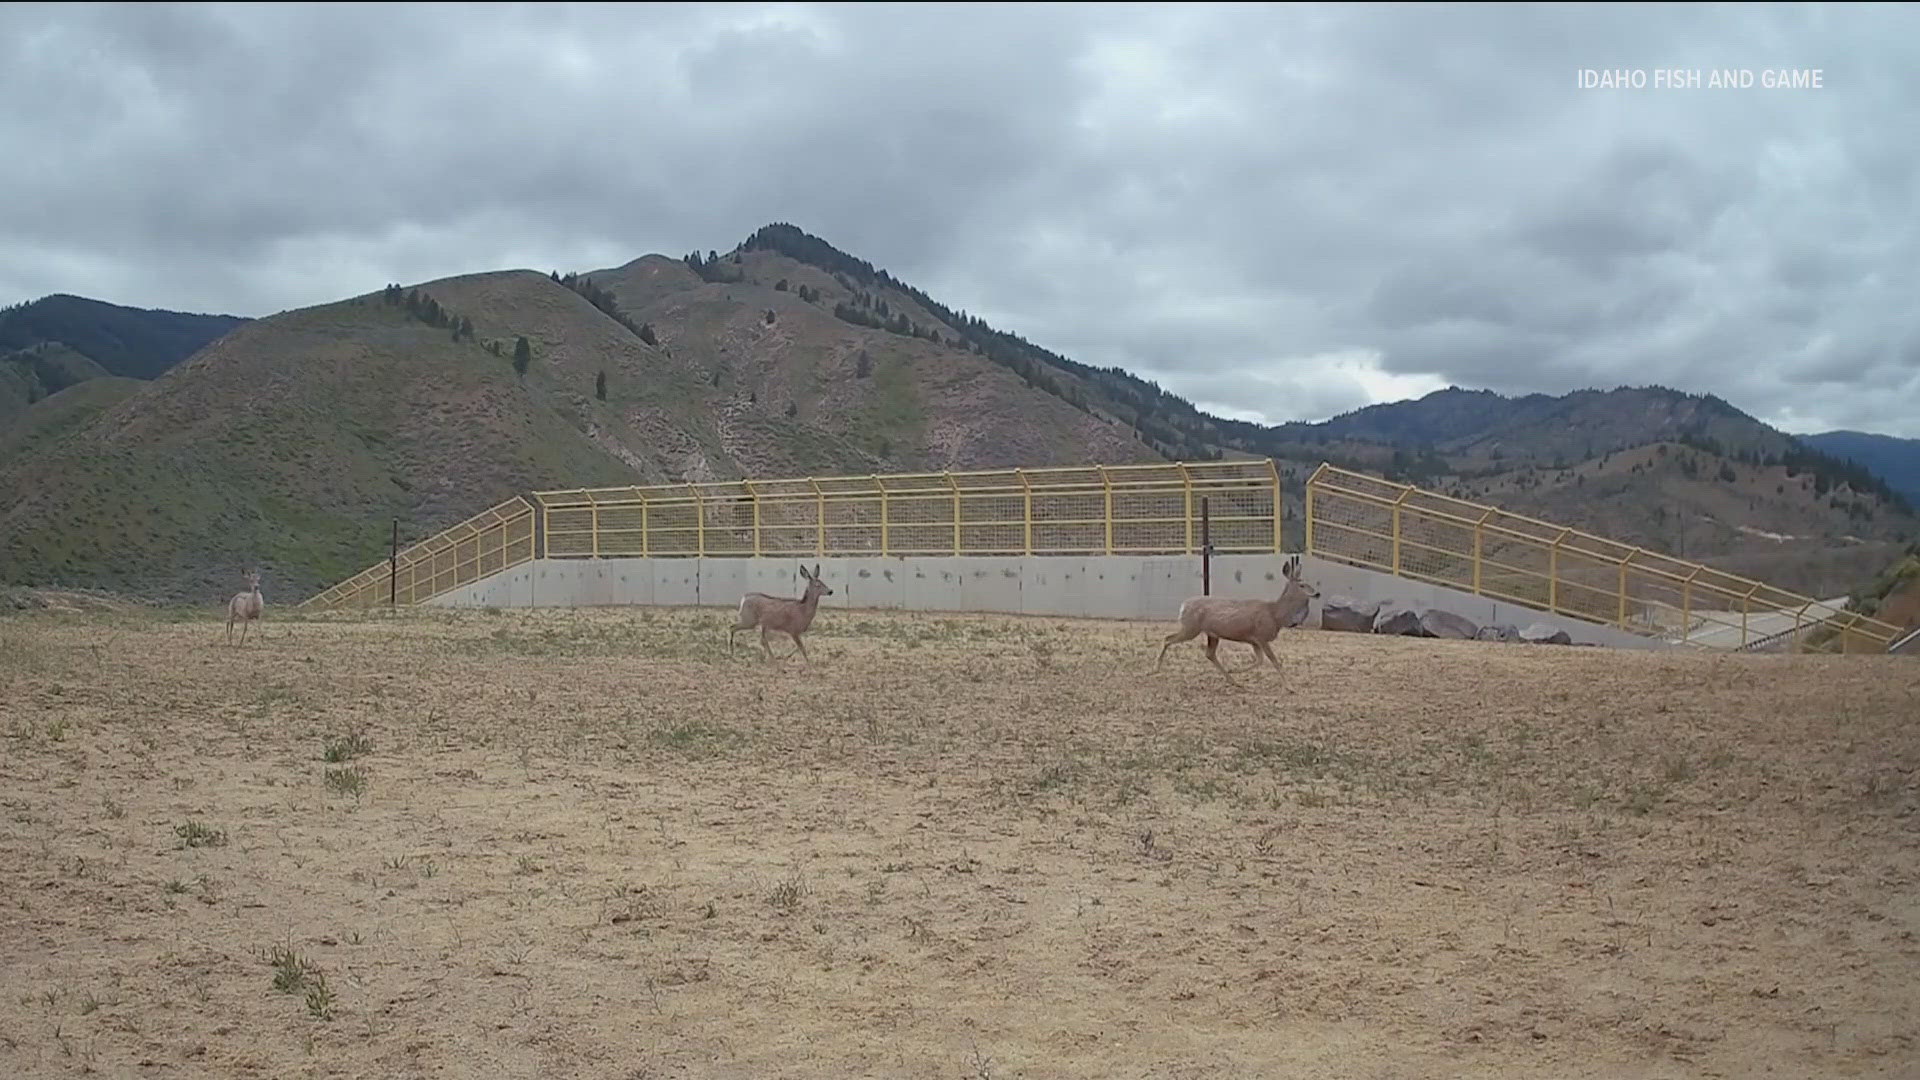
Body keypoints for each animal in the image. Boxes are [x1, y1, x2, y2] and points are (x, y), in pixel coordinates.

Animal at [1152, 553, 1320, 680]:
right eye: (1302, 585)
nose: (1317, 593)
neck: (1275, 615)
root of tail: (1183, 606)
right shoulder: (1261, 636)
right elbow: (1274, 661)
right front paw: (1290, 688)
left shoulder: (1254, 640)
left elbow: (1260, 661)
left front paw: (1234, 671)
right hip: (1191, 628)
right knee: (1168, 638)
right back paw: (1155, 669)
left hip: (1211, 634)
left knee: (1209, 654)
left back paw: (1233, 681)